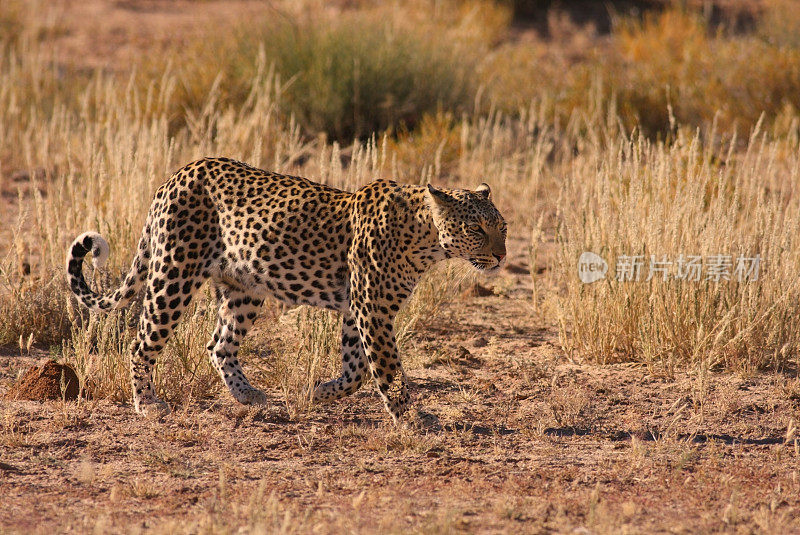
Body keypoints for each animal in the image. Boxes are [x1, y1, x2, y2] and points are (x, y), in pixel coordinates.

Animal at [67, 156, 506, 422]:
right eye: (476, 228)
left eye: (501, 227)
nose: (501, 256)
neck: (427, 239)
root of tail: (179, 173)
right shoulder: (371, 309)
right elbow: (386, 367)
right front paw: (409, 416)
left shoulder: (358, 310)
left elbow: (357, 368)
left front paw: (319, 393)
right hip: (174, 274)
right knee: (140, 343)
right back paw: (148, 404)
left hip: (243, 289)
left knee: (218, 344)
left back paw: (248, 396)